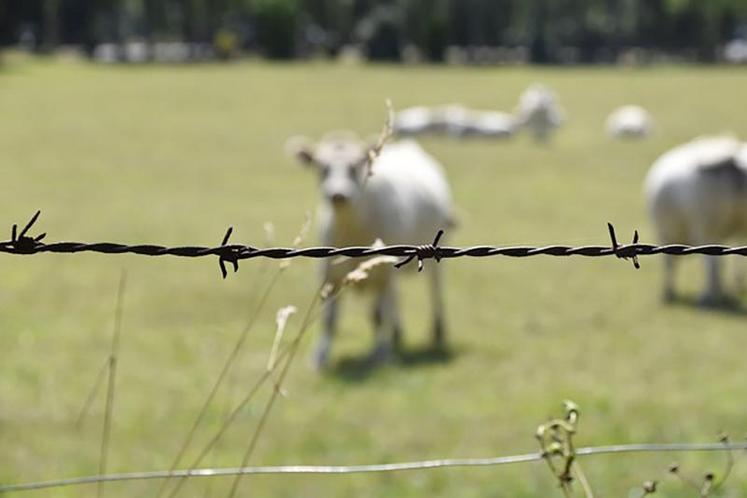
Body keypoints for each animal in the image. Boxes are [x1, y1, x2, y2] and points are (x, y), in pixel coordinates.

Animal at [288, 131, 456, 366]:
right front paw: (320, 356)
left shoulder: (382, 275)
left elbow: (378, 316)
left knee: (435, 291)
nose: (338, 195)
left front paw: (380, 354)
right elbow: (330, 318)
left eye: (356, 166)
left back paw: (437, 331)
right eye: (322, 167)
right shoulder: (329, 273)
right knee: (395, 298)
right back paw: (397, 332)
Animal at [644, 134, 747, 304]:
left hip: (706, 228)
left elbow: (668, 263)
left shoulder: (664, 233)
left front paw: (669, 292)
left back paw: (707, 297)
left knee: (712, 265)